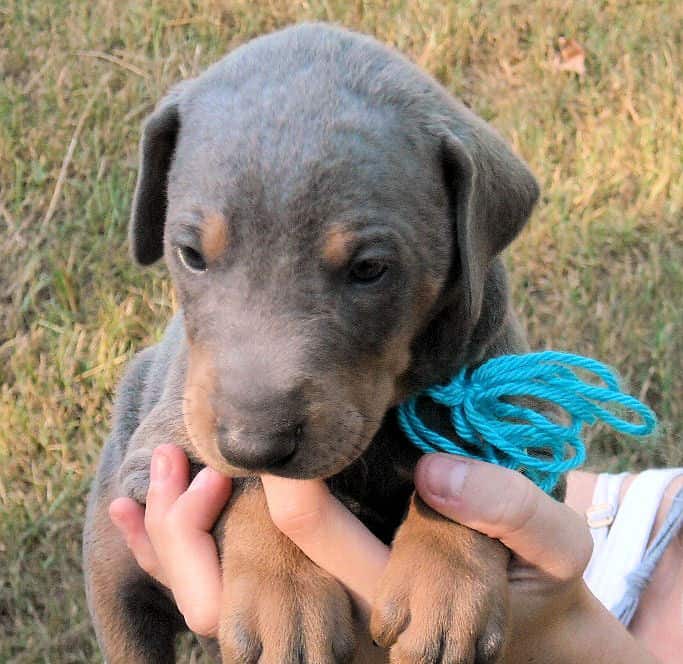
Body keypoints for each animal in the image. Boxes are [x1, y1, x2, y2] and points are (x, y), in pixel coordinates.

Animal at [85, 22, 544, 664]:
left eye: (370, 269)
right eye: (190, 254)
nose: (253, 442)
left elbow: (476, 458)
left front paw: (447, 583)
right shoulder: (163, 447)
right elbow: (248, 485)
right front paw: (285, 591)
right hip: (114, 566)